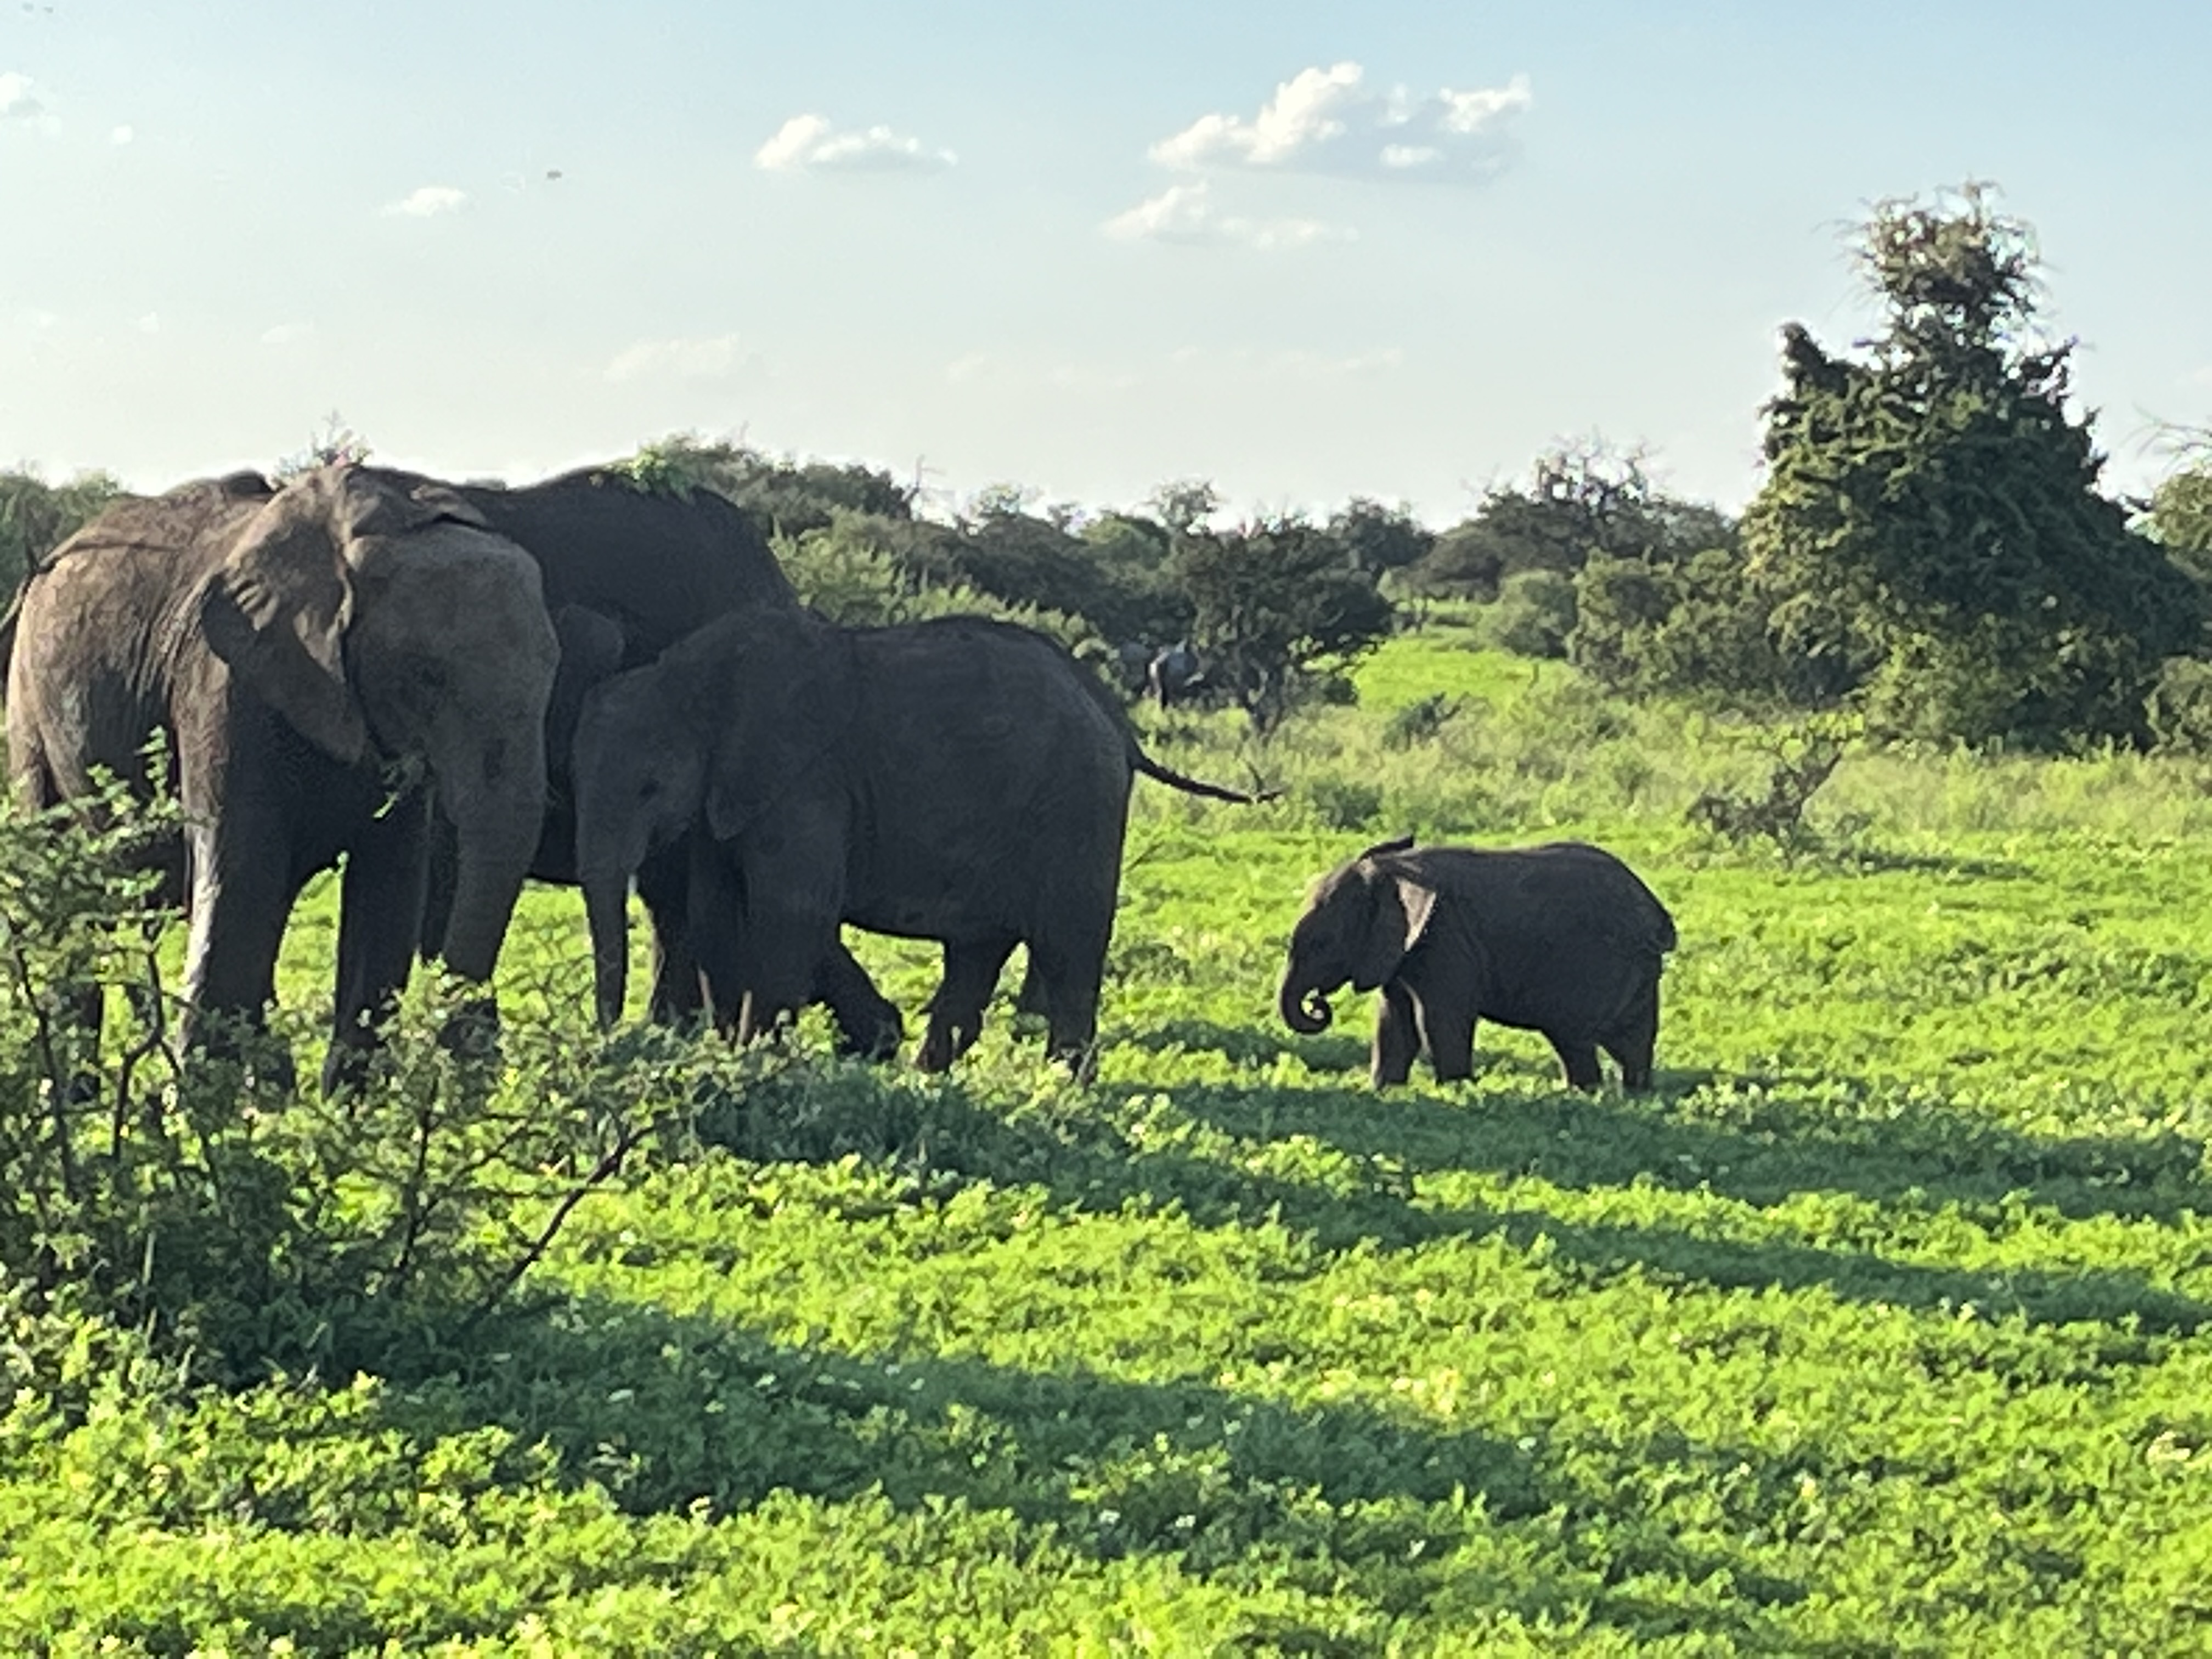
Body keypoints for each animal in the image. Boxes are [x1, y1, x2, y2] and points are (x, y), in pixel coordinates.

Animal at [2, 465, 560, 1091]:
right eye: (426, 676)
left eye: (555, 672)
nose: (461, 1057)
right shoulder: (224, 680)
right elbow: (241, 868)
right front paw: (202, 1105)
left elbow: (389, 884)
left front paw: (351, 1105)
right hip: (27, 706)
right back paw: (75, 1092)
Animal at [571, 610, 1266, 1076]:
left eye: (649, 788)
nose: (609, 1038)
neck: (690, 676)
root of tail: (1118, 723)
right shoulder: (732, 795)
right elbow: (717, 913)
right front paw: (736, 1056)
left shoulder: (805, 782)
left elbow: (792, 913)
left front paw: (755, 1062)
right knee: (978, 951)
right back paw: (930, 1075)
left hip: (1078, 806)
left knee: (1068, 944)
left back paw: (1060, 1084)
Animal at [1278, 836, 1676, 1091]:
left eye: (1323, 943)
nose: (1318, 1004)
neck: (1394, 871)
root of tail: (1658, 918)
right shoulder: (1402, 951)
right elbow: (1394, 1022)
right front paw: (1383, 1091)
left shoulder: (1443, 940)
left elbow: (1438, 1020)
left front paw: (1457, 1090)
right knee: (1619, 1045)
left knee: (1576, 1037)